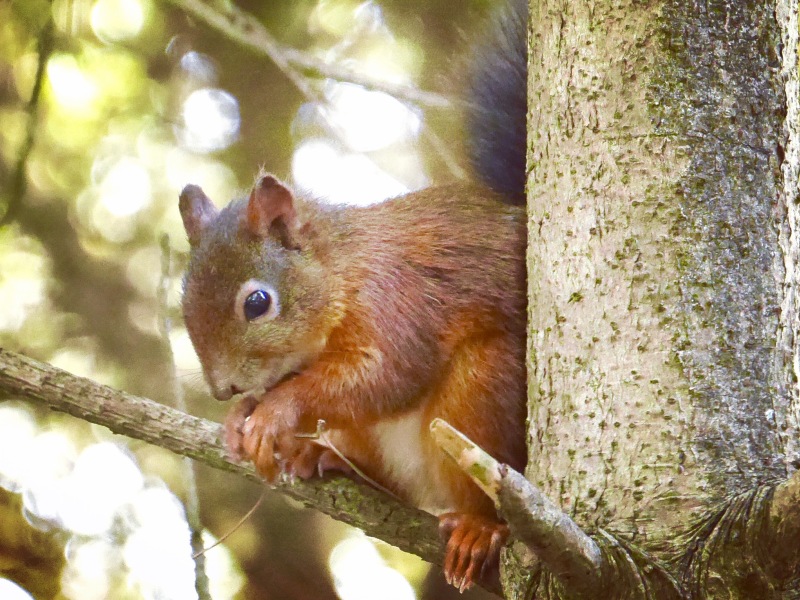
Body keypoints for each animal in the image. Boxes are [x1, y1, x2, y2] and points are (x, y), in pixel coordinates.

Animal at [179, 0, 528, 592]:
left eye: (257, 302)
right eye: (183, 302)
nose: (224, 389)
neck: (341, 272)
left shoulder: (394, 301)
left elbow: (385, 373)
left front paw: (274, 411)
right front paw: (241, 420)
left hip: (486, 391)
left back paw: (480, 529)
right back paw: (319, 456)